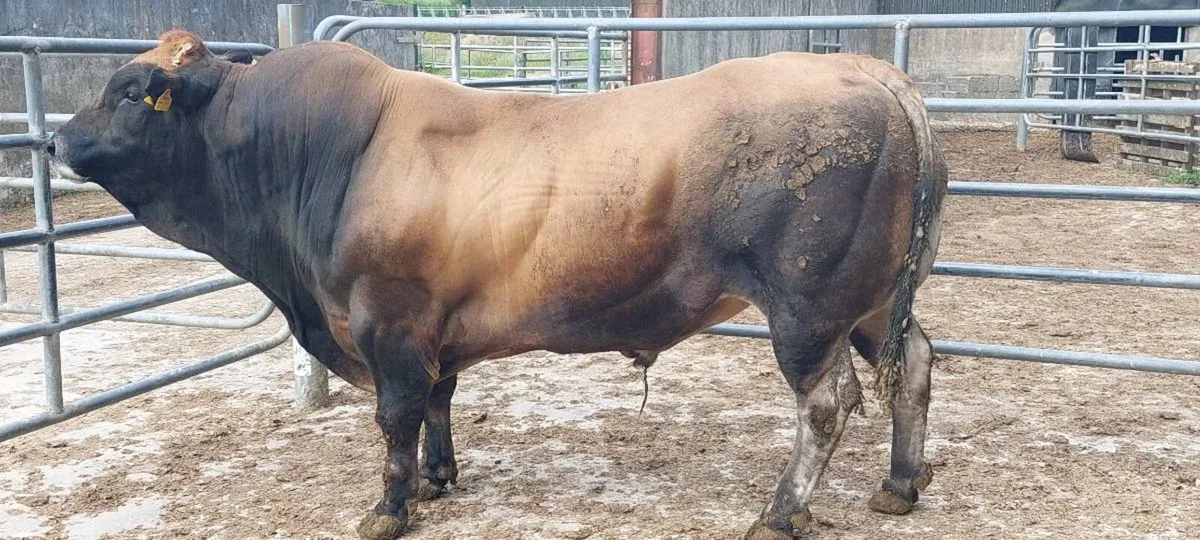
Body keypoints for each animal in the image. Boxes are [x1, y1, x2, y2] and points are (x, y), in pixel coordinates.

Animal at [49, 30, 947, 539]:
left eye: (130, 93)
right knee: (915, 364)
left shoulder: (384, 318)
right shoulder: (430, 328)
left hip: (808, 308)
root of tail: (873, 74)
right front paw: (440, 480)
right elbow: (438, 401)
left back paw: (780, 513)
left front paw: (389, 508)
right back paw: (898, 486)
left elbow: (395, 416)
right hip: (871, 304)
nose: (55, 142)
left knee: (825, 405)